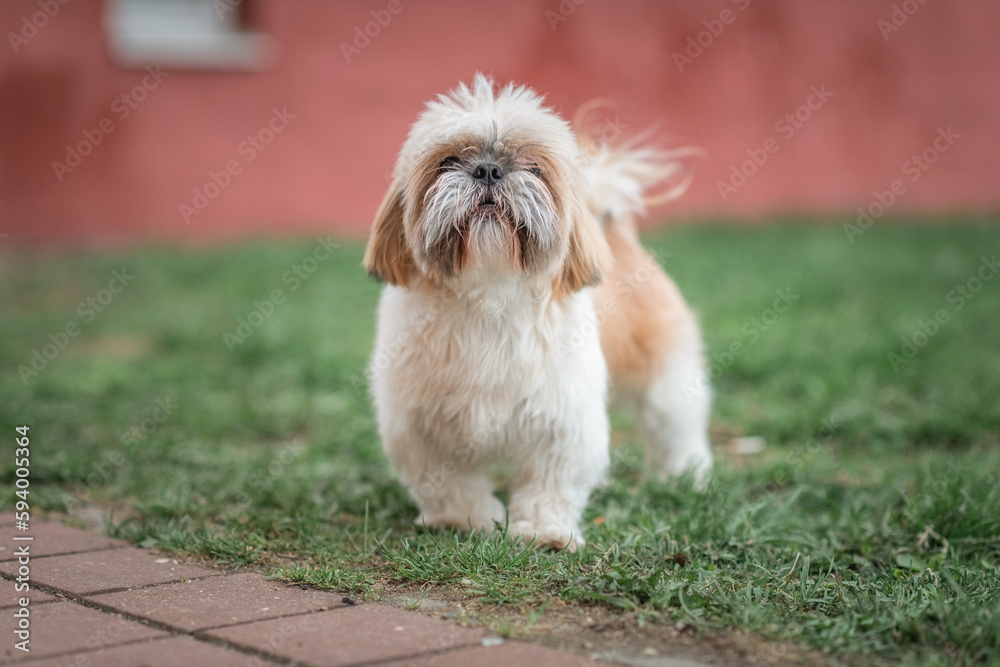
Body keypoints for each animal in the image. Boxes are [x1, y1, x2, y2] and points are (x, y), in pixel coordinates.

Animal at [364, 75, 708, 552]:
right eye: (447, 161)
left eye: (532, 166)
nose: (488, 170)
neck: (489, 293)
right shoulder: (420, 425)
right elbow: (449, 482)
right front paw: (463, 520)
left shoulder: (562, 420)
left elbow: (551, 482)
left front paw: (545, 531)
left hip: (665, 381)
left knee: (675, 425)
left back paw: (685, 473)